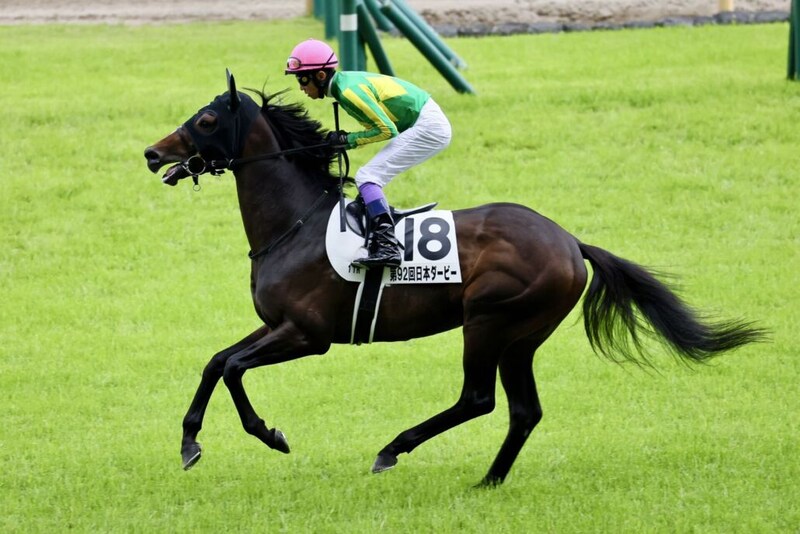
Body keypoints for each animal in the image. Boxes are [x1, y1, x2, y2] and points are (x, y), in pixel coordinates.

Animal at [143, 71, 766, 486]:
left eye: (206, 119)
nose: (152, 153)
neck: (296, 224)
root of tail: (570, 242)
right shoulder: (276, 325)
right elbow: (216, 362)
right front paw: (191, 441)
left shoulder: (306, 334)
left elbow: (234, 370)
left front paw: (268, 434)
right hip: (521, 338)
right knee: (523, 410)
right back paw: (489, 480)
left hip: (489, 321)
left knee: (478, 398)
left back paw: (394, 449)